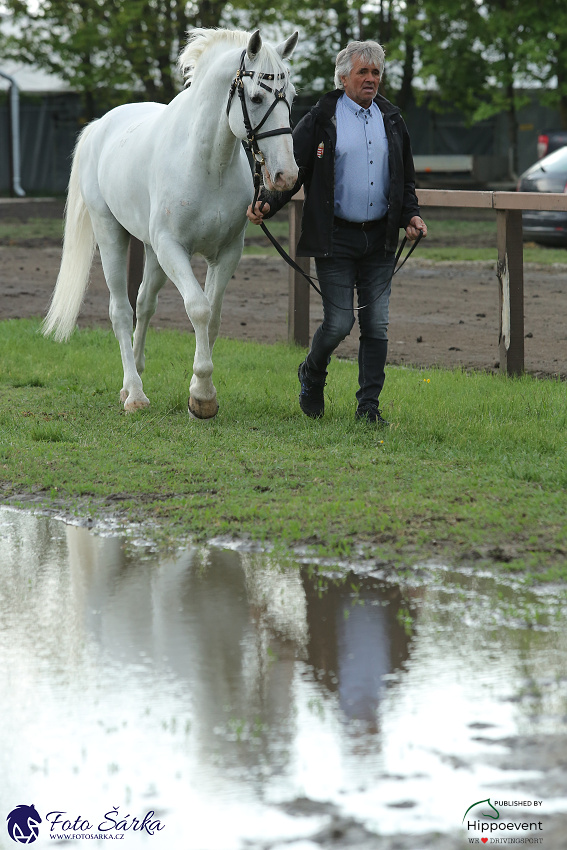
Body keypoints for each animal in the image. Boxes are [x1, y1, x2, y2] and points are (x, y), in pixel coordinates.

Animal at [42, 28, 300, 420]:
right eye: (257, 97)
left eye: (292, 98)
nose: (287, 175)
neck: (208, 164)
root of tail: (100, 125)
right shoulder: (173, 248)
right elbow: (198, 308)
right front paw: (203, 397)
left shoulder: (227, 253)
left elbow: (214, 317)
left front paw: (199, 393)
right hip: (112, 235)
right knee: (121, 311)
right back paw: (134, 394)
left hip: (152, 252)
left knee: (145, 304)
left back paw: (132, 377)